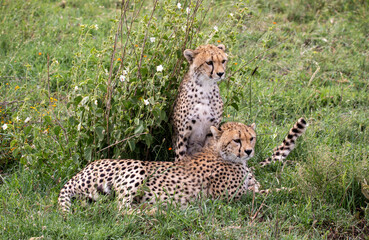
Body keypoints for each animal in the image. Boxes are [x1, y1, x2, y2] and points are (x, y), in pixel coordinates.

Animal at [58, 122, 256, 214]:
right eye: (237, 140)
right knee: (120, 209)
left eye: (251, 138)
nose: (249, 151)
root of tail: (85, 167)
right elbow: (258, 194)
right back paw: (157, 210)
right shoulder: (229, 198)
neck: (219, 152)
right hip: (136, 166)